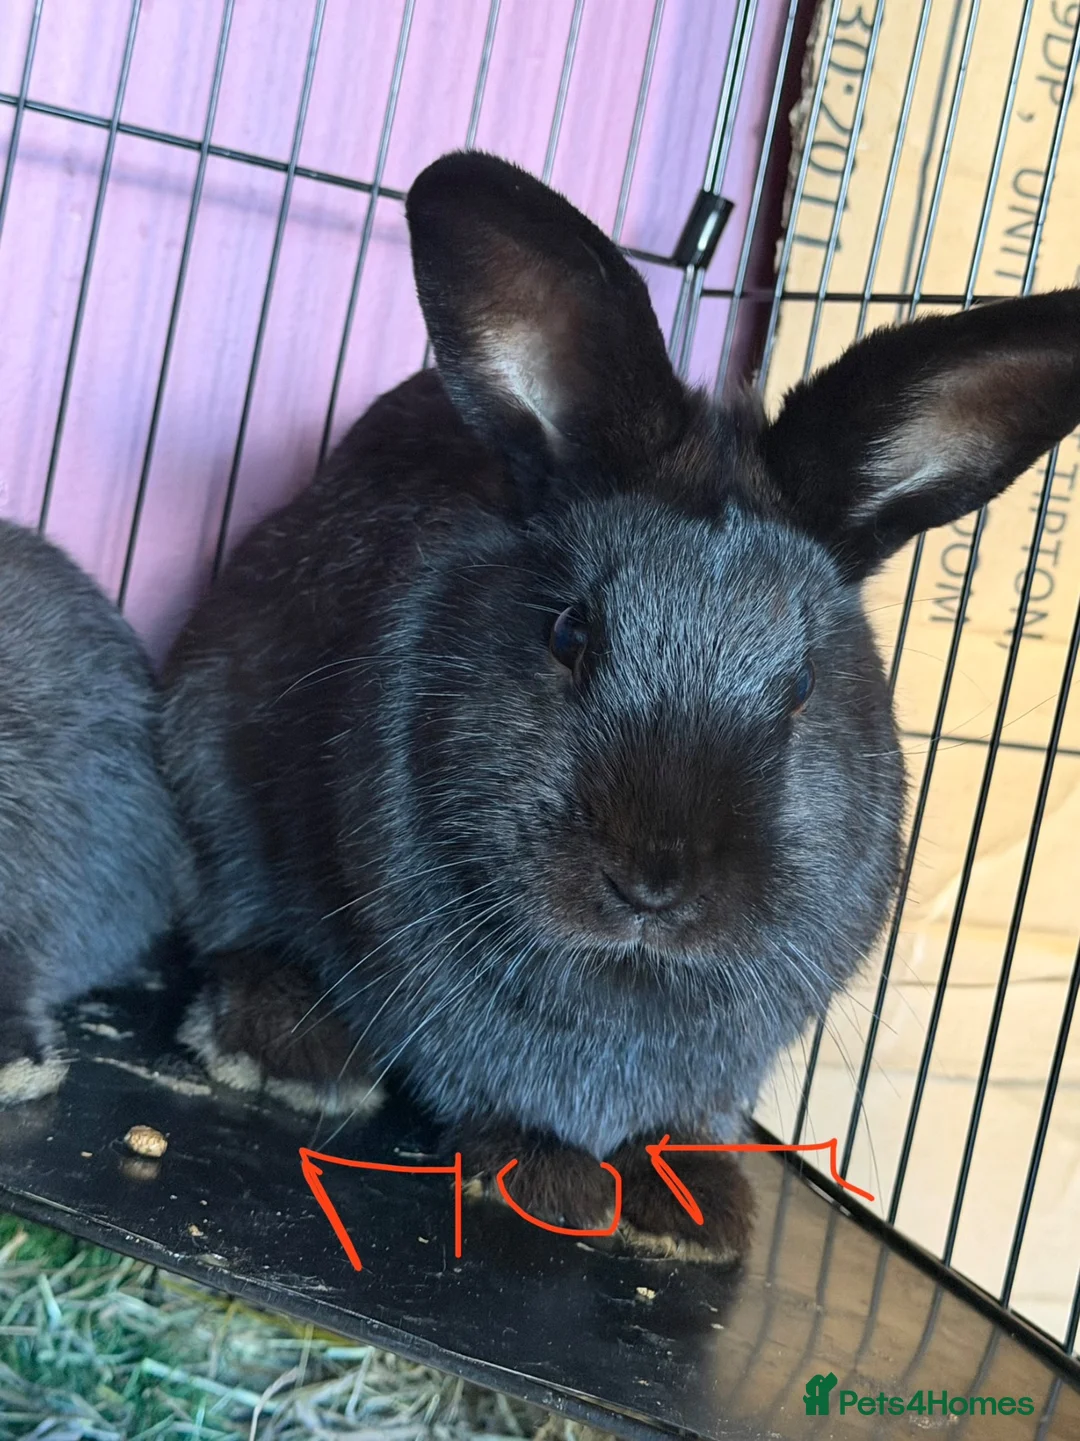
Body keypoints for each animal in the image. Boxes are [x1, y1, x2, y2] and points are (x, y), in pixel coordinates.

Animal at [161, 150, 1080, 1262]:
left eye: (803, 685)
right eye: (569, 633)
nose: (653, 880)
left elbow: (689, 1118)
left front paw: (696, 1215)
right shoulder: (433, 987)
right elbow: (486, 1082)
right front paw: (549, 1180)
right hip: (203, 757)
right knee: (233, 923)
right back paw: (288, 1049)